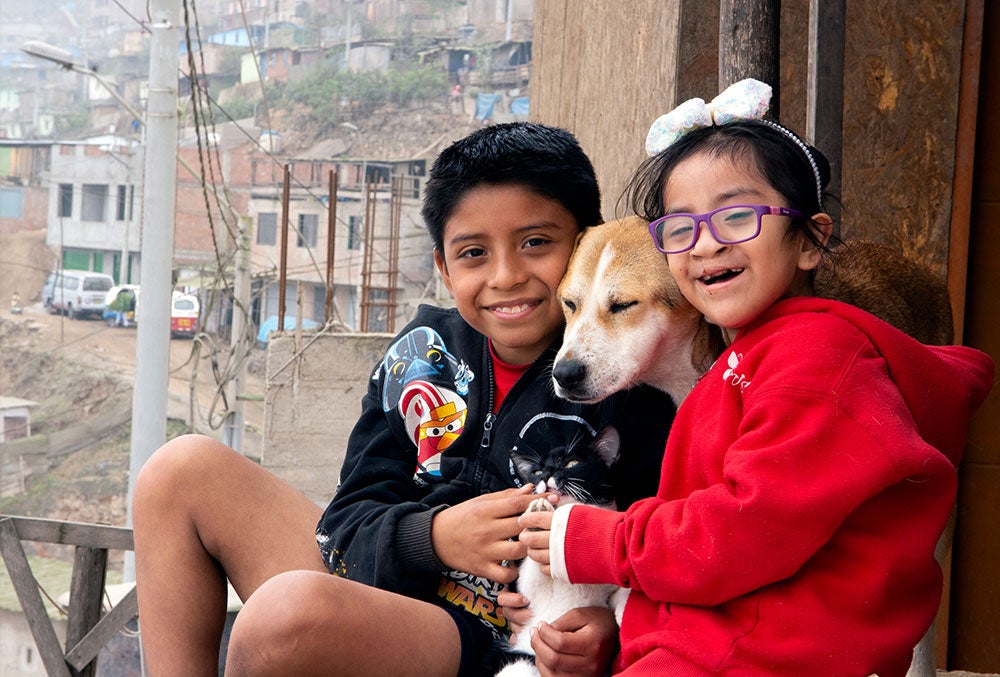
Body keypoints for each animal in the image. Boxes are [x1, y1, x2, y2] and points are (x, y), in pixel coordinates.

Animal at [498, 414, 628, 676]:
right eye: (537, 471)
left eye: (571, 463)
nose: (547, 474)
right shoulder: (526, 590)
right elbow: (531, 572)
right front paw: (540, 514)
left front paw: (625, 610)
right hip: (520, 663)